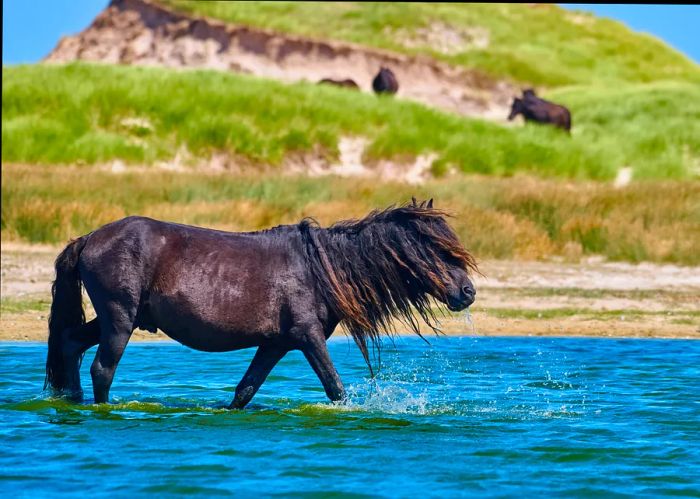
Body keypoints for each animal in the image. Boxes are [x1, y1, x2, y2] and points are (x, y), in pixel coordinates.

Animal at [46, 199, 478, 410]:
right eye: (437, 249)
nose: (468, 292)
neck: (320, 268)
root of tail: (89, 238)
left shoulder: (275, 343)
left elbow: (245, 390)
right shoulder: (307, 337)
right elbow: (335, 388)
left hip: (117, 319)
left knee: (69, 342)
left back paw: (72, 401)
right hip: (119, 319)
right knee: (102, 369)